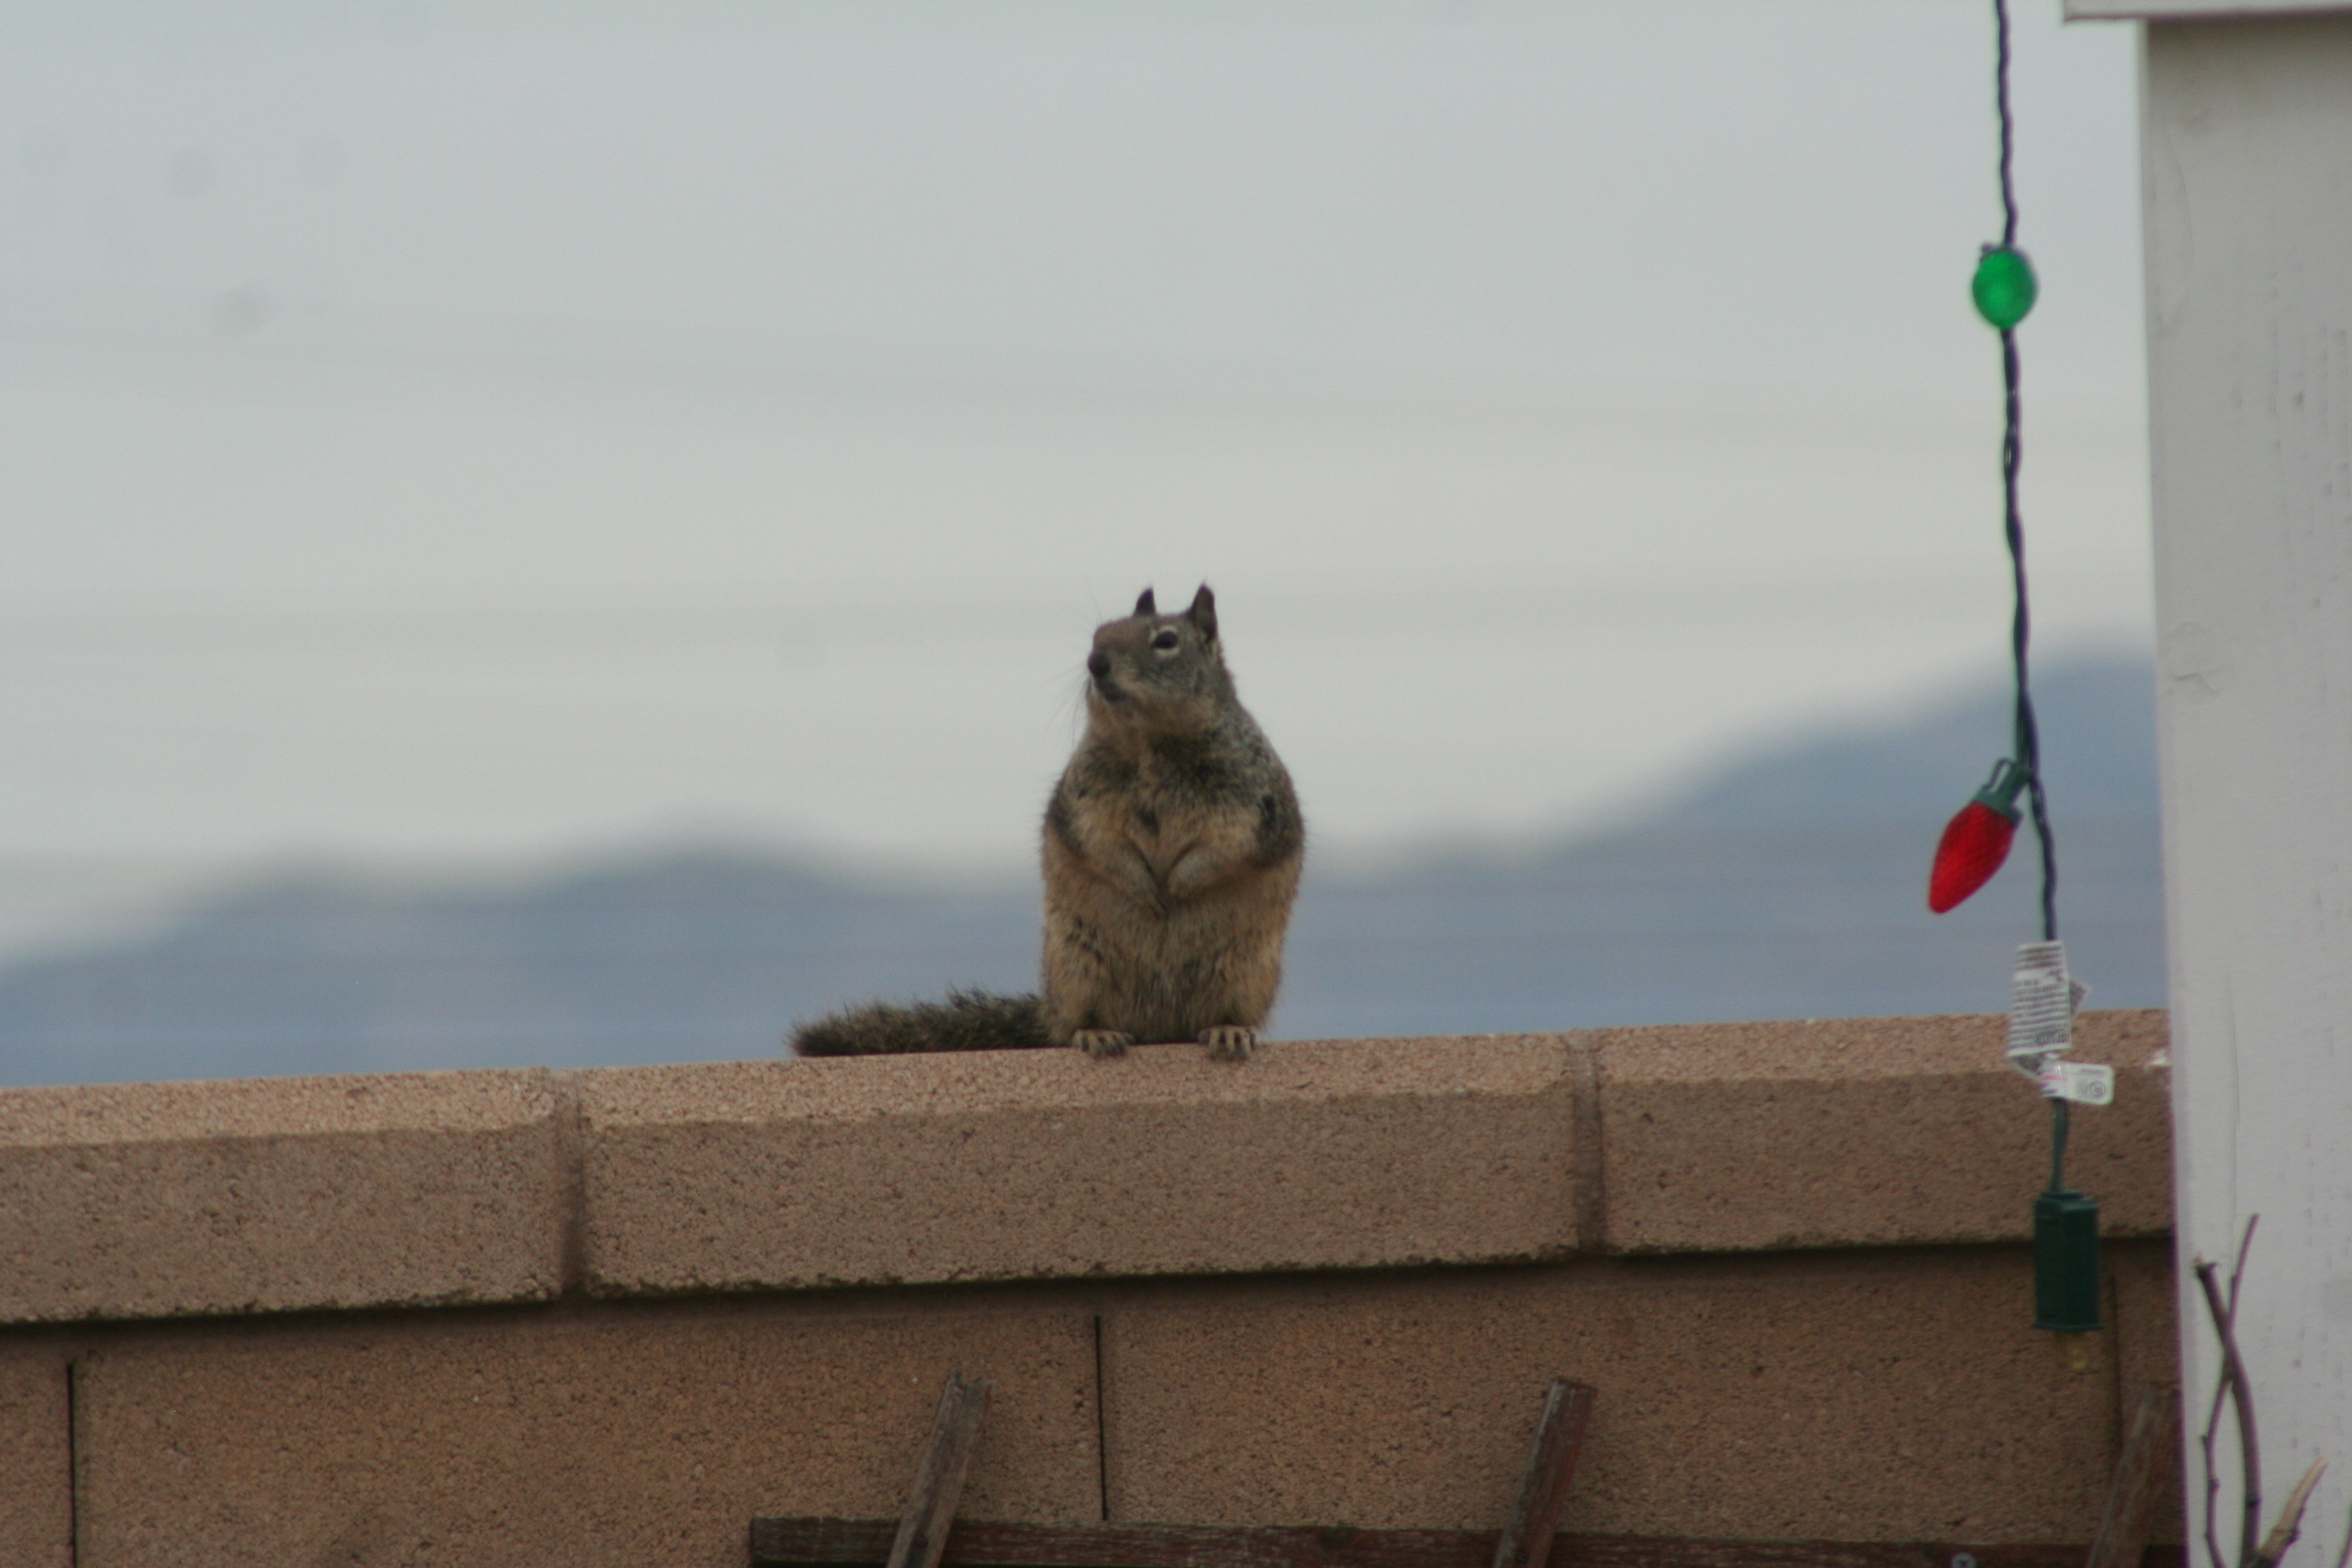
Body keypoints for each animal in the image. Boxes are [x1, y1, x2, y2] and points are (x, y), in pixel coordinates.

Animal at [792, 584, 1305, 1062]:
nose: (1096, 663)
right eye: (1097, 635)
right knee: (1079, 1022)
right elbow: (1099, 843)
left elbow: (1227, 847)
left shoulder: (1251, 800)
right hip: (1078, 969)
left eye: (1166, 640)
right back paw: (1097, 1033)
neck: (1149, 741)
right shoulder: (1084, 799)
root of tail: (1159, 1028)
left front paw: (1178, 884)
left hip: (1246, 974)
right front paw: (1143, 885)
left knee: (1223, 1013)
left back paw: (1227, 1030)